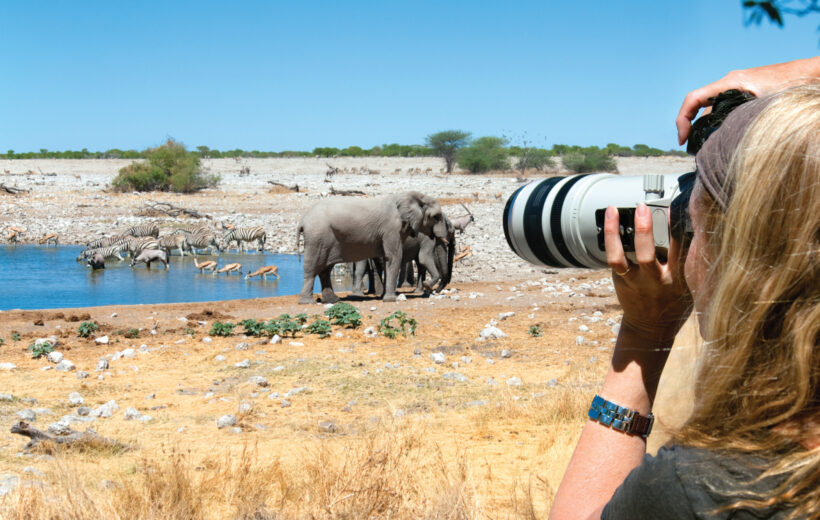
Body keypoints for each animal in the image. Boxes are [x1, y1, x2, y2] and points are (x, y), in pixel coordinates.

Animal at [294, 192, 448, 304]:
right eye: (436, 217)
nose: (430, 288)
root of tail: (302, 221)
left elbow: (387, 259)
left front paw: (384, 297)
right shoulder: (391, 228)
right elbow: (394, 257)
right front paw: (390, 300)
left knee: (325, 269)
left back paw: (333, 300)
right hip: (317, 237)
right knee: (312, 268)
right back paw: (308, 302)